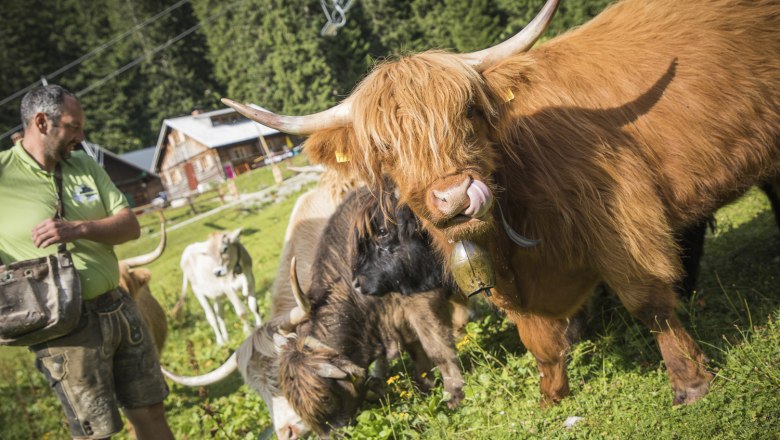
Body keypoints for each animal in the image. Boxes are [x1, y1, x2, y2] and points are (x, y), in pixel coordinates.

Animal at [225, 0, 780, 406]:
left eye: (469, 111)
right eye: (384, 147)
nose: (453, 197)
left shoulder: (623, 221)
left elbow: (648, 302)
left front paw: (691, 384)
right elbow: (538, 339)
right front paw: (552, 397)